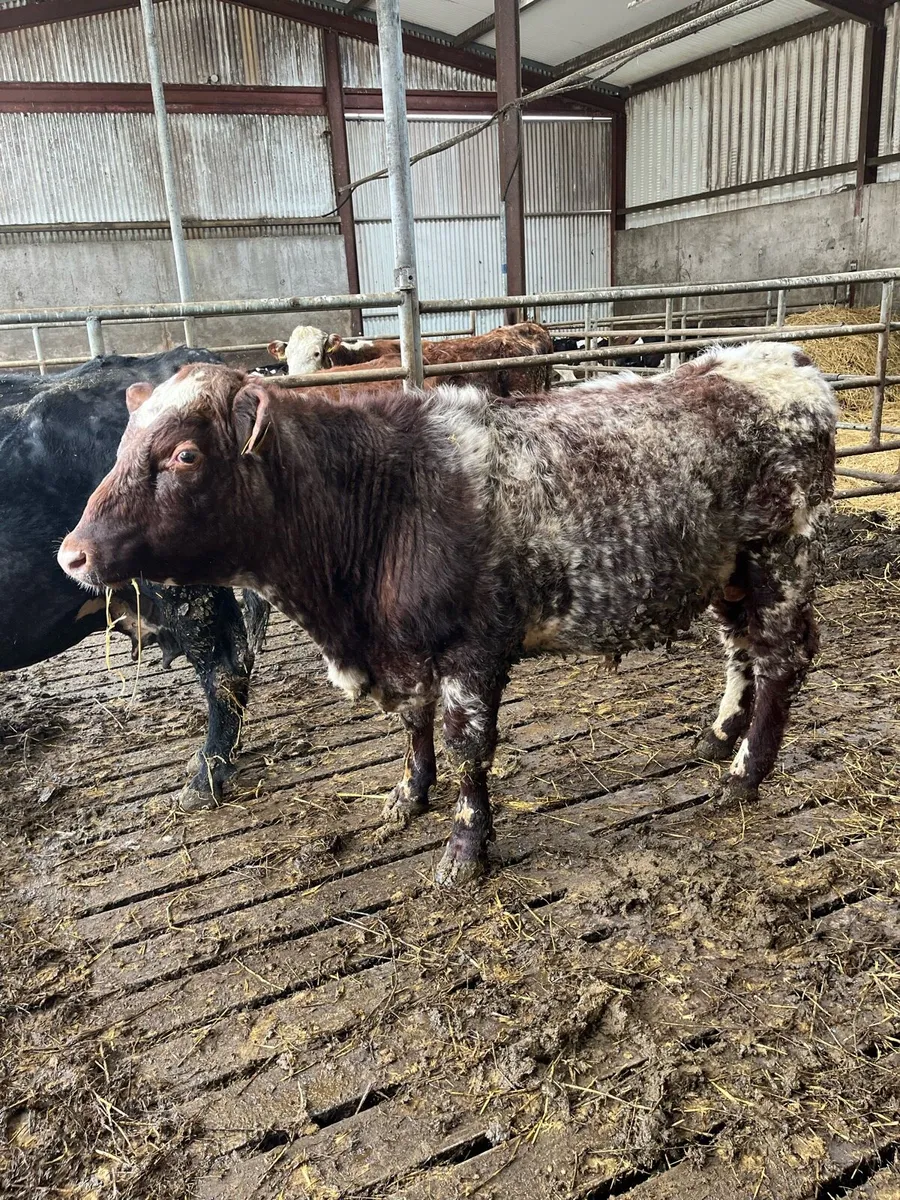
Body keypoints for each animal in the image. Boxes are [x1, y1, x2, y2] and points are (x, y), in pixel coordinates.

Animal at [59, 343, 836, 884]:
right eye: (122, 447)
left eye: (185, 455)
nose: (72, 555)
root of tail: (781, 361)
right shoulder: (404, 649)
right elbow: (412, 724)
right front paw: (408, 794)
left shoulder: (471, 649)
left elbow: (468, 747)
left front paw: (465, 848)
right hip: (730, 572)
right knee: (738, 649)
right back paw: (718, 736)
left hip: (779, 557)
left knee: (779, 659)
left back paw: (743, 774)